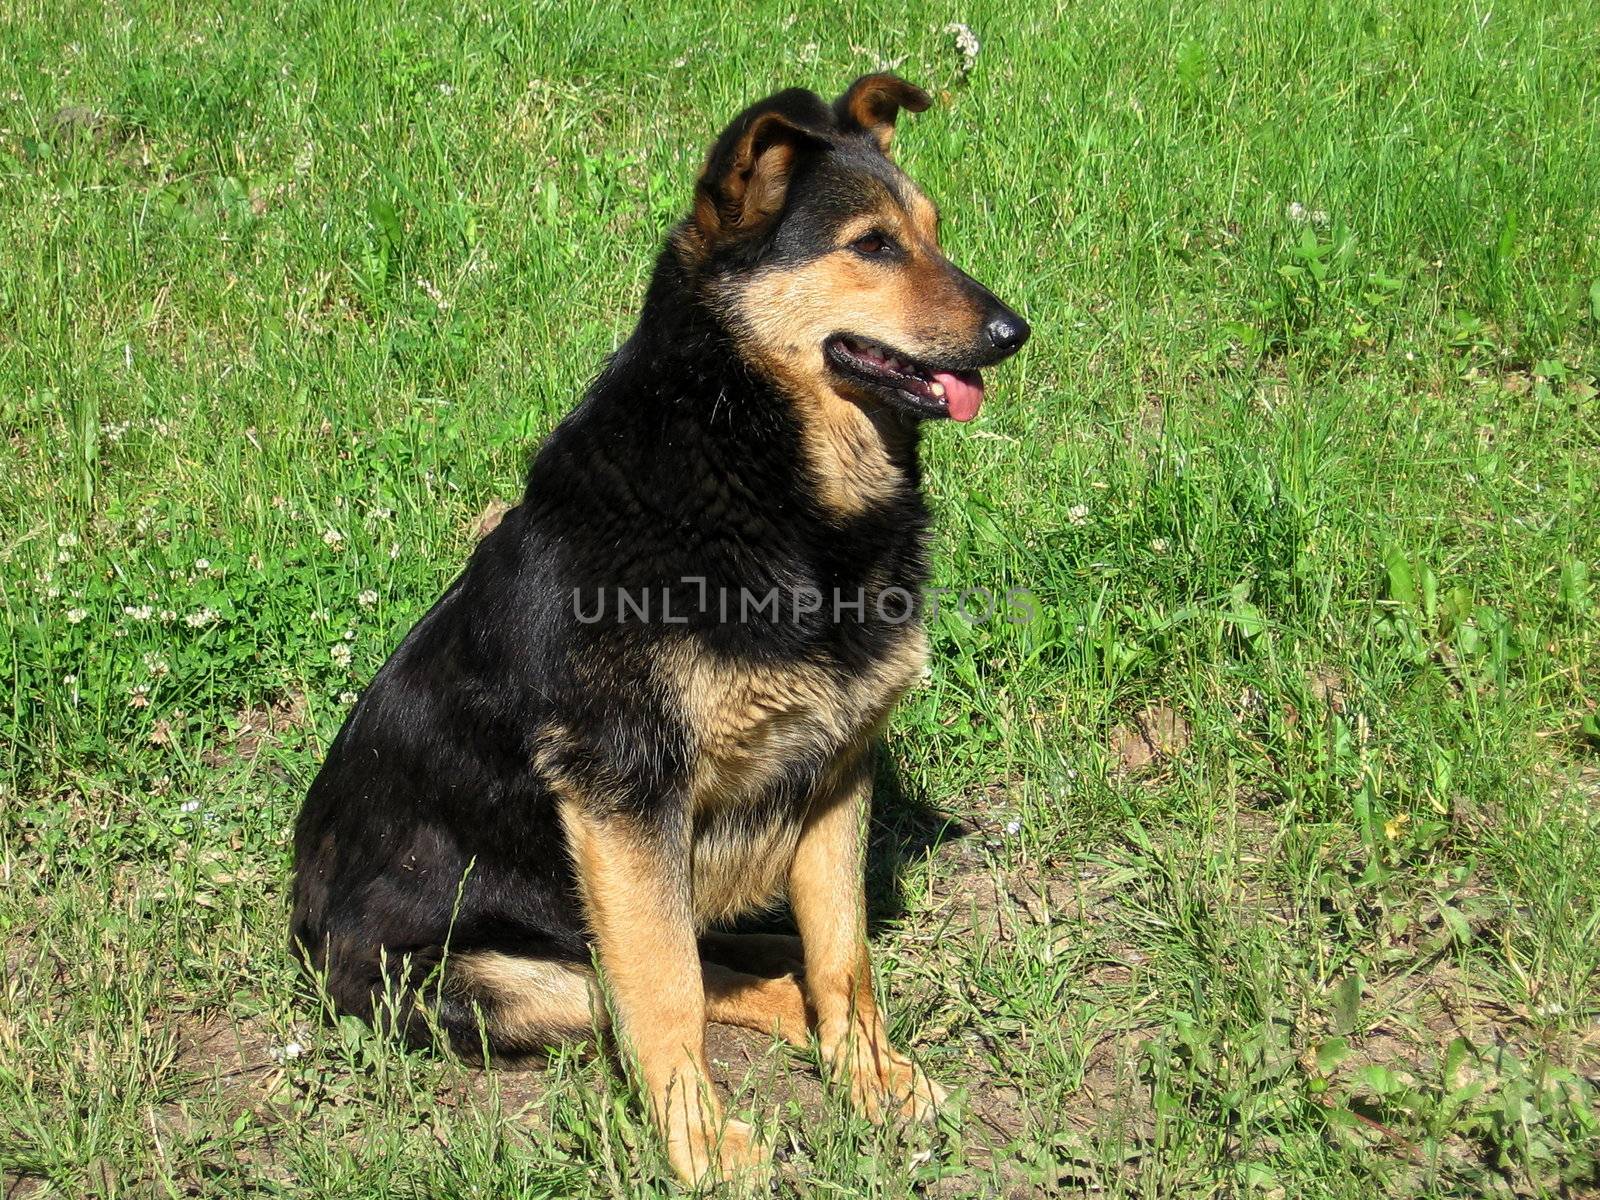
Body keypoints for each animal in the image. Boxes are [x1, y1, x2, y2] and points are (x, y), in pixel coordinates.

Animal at [292, 77, 1030, 1196]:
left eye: (934, 236)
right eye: (870, 246)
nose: (1012, 330)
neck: (759, 467)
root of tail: (299, 927)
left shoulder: (833, 773)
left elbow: (842, 954)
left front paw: (866, 1078)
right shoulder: (626, 798)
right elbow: (668, 993)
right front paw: (701, 1151)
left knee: (739, 965)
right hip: (499, 977)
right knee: (651, 983)